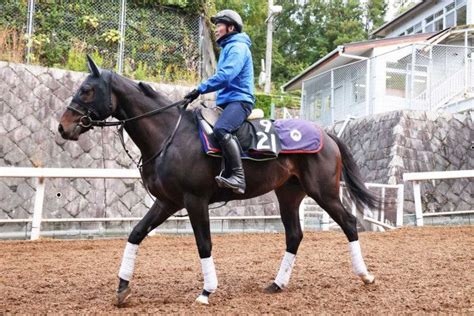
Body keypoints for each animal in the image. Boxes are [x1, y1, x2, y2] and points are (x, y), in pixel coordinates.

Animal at [59, 56, 378, 306]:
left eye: (86, 90)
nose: (63, 127)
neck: (170, 135)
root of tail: (326, 134)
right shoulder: (167, 202)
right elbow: (136, 233)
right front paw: (123, 287)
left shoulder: (194, 200)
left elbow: (204, 244)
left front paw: (206, 291)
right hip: (288, 194)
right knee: (294, 235)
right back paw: (278, 283)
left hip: (324, 192)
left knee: (349, 223)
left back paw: (365, 275)